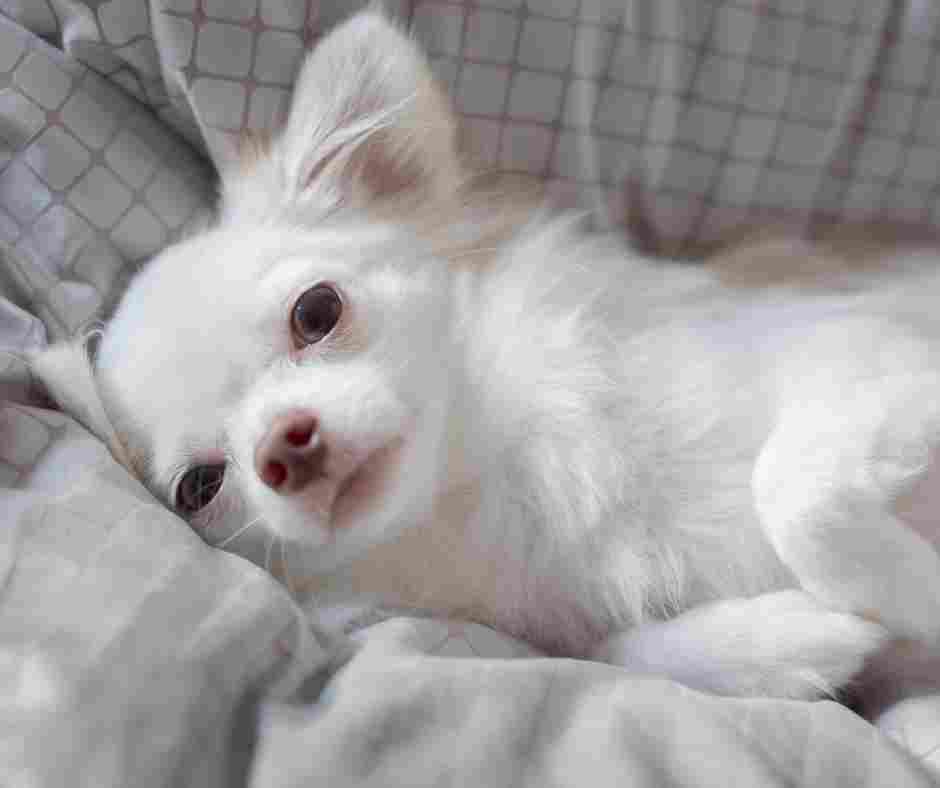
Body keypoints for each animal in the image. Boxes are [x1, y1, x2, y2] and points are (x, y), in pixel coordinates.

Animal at [33, 10, 940, 700]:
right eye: (201, 487)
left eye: (317, 311)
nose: (285, 448)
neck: (491, 481)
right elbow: (623, 650)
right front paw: (787, 641)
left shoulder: (878, 356)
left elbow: (793, 492)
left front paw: (919, 598)